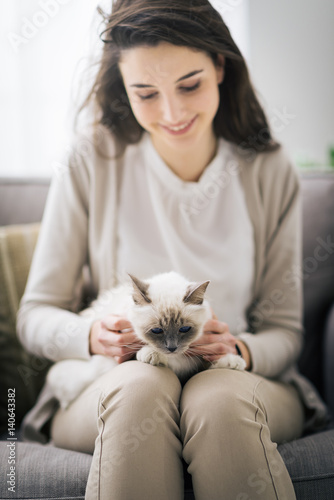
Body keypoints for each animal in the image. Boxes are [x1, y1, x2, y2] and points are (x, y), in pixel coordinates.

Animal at [47, 272, 245, 408]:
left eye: (184, 329)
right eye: (157, 330)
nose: (172, 348)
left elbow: (209, 358)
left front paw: (233, 361)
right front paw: (151, 354)